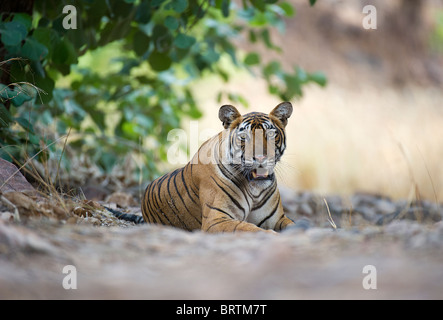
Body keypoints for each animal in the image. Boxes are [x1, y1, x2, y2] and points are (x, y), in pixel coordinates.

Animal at [109, 102, 294, 232]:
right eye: (243, 137)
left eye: (271, 134)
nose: (261, 157)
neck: (254, 189)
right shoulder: (216, 220)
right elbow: (248, 228)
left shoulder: (277, 219)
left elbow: (292, 224)